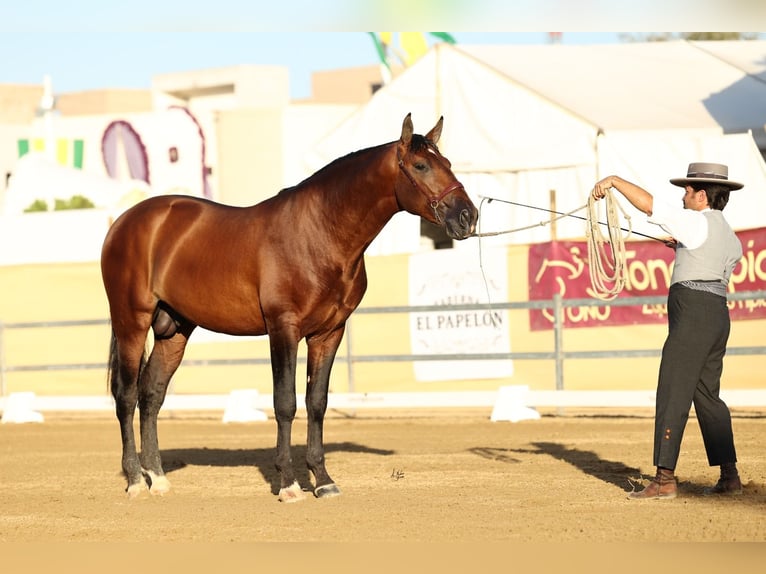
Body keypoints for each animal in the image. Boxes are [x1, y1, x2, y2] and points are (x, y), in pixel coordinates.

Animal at [99, 113, 476, 504]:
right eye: (421, 166)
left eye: (448, 163)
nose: (468, 216)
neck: (318, 233)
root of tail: (125, 222)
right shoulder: (284, 328)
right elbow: (285, 403)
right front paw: (289, 483)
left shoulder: (329, 333)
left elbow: (317, 402)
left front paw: (323, 480)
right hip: (131, 322)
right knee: (126, 396)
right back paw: (135, 480)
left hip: (174, 330)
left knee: (151, 395)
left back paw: (157, 478)